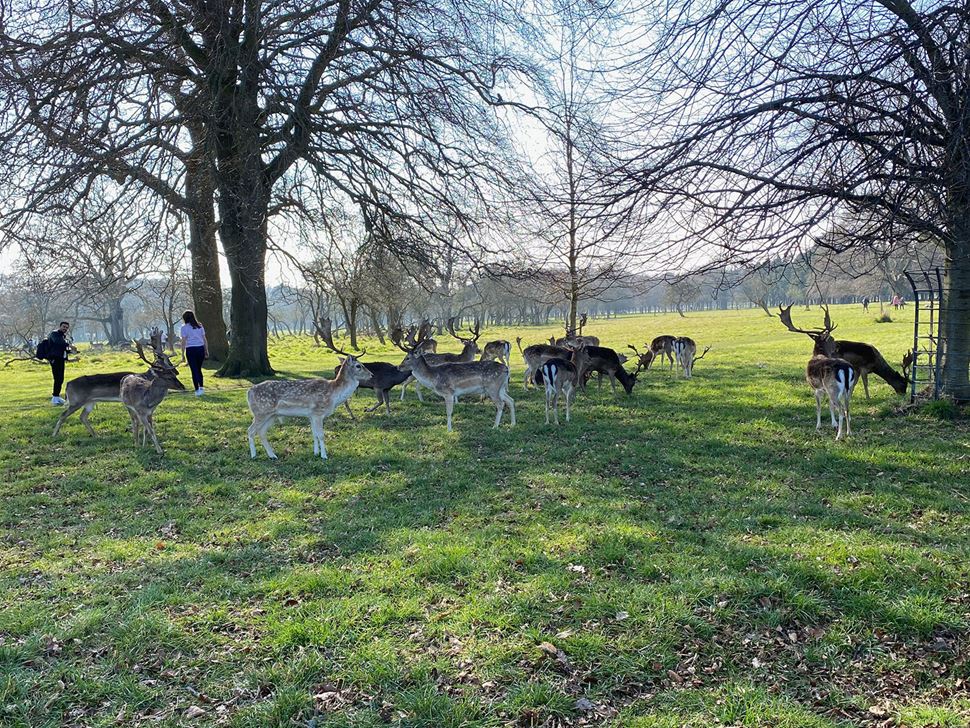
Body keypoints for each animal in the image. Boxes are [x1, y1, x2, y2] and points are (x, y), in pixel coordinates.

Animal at [778, 305, 858, 439]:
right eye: (831, 338)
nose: (837, 345)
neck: (818, 354)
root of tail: (845, 368)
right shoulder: (825, 389)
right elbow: (830, 406)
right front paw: (833, 424)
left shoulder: (816, 388)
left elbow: (819, 407)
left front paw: (818, 426)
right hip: (847, 388)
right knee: (847, 407)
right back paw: (849, 432)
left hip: (833, 388)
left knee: (841, 409)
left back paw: (838, 436)